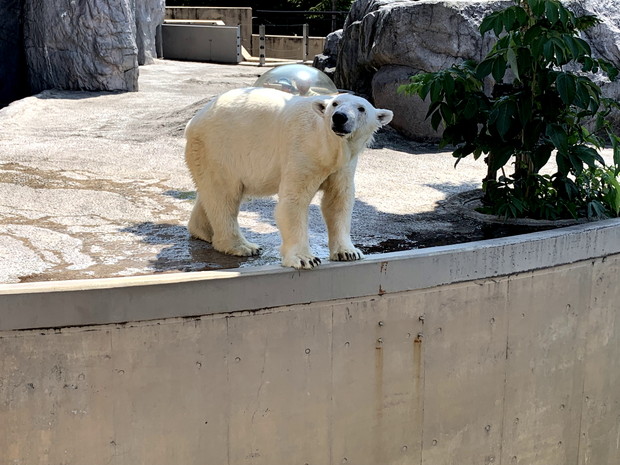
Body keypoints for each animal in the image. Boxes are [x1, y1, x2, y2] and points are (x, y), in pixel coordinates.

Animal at [184, 87, 394, 268]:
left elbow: (338, 200)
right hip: (220, 147)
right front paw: (305, 259)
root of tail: (194, 120)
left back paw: (203, 231)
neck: (326, 146)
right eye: (335, 103)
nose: (340, 117)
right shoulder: (302, 150)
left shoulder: (343, 166)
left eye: (361, 108)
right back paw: (243, 246)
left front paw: (349, 252)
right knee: (224, 195)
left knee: (212, 193)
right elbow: (294, 200)